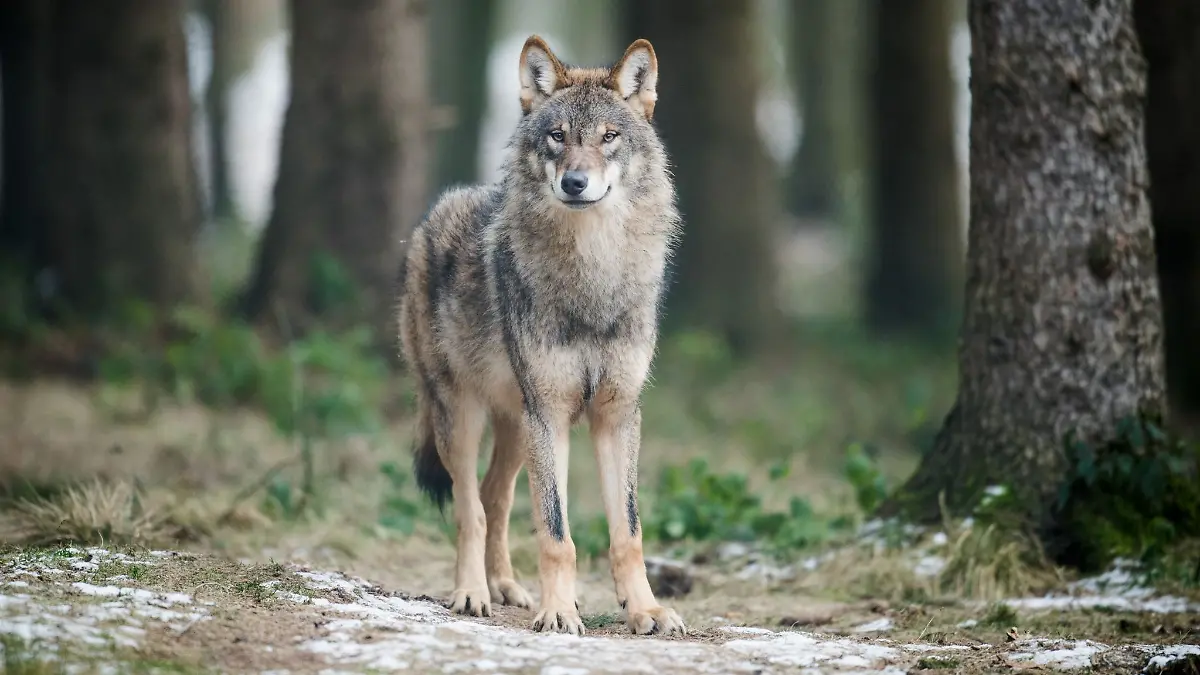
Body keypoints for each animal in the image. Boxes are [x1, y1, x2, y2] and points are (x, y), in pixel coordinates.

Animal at [396, 35, 685, 637]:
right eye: (558, 136)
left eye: (608, 137)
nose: (575, 182)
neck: (593, 274)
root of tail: (430, 217)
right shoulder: (549, 413)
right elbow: (557, 534)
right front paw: (559, 612)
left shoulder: (617, 414)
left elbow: (628, 531)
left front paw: (644, 610)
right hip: (464, 416)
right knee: (470, 507)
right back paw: (472, 592)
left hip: (514, 426)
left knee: (495, 498)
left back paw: (505, 586)